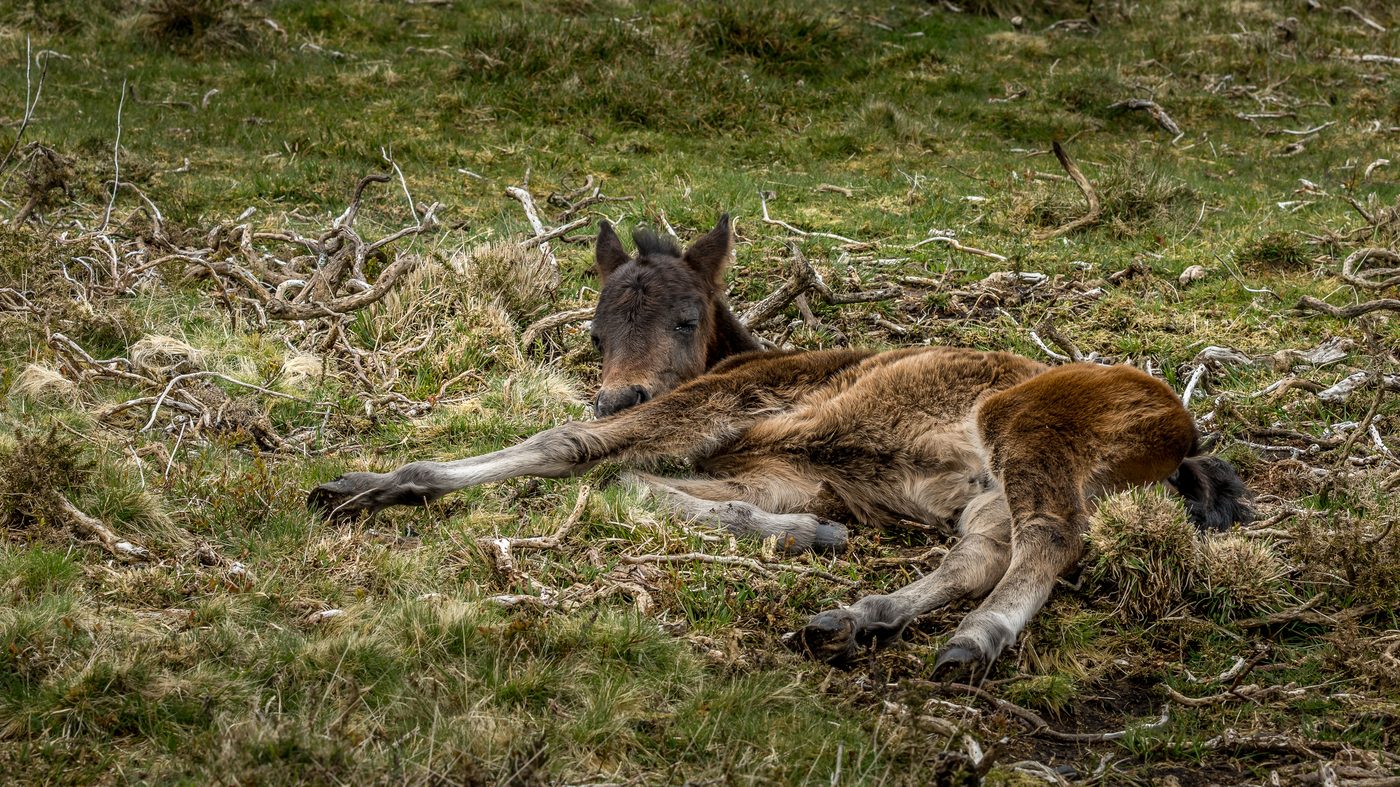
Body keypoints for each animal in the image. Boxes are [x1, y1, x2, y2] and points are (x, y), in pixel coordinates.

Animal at [308, 215, 1251, 676]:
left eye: (686, 318)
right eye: (595, 330)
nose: (620, 389)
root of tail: (1180, 428)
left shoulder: (716, 405)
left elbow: (571, 445)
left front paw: (367, 483)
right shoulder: (779, 473)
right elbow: (636, 486)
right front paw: (810, 537)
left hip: (1028, 427)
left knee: (1052, 535)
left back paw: (972, 642)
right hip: (987, 489)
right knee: (985, 552)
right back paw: (853, 619)